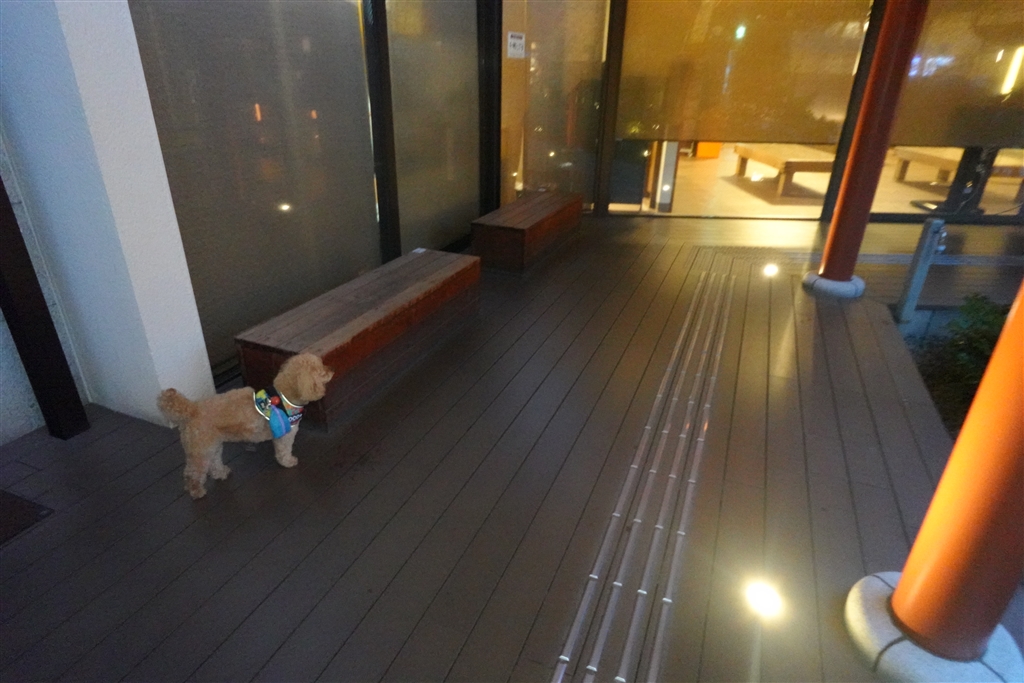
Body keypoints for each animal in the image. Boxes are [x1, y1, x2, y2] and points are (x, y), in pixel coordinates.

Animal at [158, 353, 334, 499]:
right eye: (321, 371)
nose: (331, 369)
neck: (284, 397)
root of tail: (192, 408)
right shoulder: (285, 435)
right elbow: (284, 451)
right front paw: (288, 462)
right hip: (201, 451)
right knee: (192, 473)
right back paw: (196, 491)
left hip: (213, 446)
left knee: (214, 463)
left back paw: (221, 473)